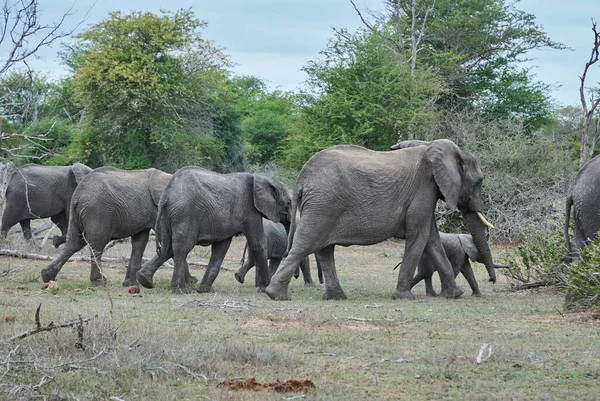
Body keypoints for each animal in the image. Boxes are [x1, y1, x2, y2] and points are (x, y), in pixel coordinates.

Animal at [40, 166, 172, 284]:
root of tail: (77, 195)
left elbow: (140, 242)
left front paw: (130, 284)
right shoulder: (156, 209)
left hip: (75, 213)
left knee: (74, 243)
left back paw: (46, 276)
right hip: (97, 212)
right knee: (97, 243)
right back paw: (99, 282)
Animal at [137, 166, 296, 294]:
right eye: (289, 202)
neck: (263, 179)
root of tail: (167, 195)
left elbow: (221, 248)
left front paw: (205, 290)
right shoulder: (250, 211)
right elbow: (258, 244)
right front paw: (264, 290)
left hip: (167, 215)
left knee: (167, 248)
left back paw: (145, 280)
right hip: (186, 214)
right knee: (182, 249)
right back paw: (182, 291)